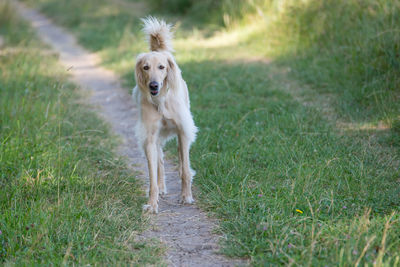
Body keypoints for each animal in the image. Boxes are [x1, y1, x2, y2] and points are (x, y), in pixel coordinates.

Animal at [134, 16, 198, 214]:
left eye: (162, 67)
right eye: (146, 67)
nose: (153, 85)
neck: (160, 101)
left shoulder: (183, 131)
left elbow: (185, 170)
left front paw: (186, 197)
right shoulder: (149, 137)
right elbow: (152, 176)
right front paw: (152, 203)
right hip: (156, 139)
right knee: (160, 162)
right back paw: (161, 187)